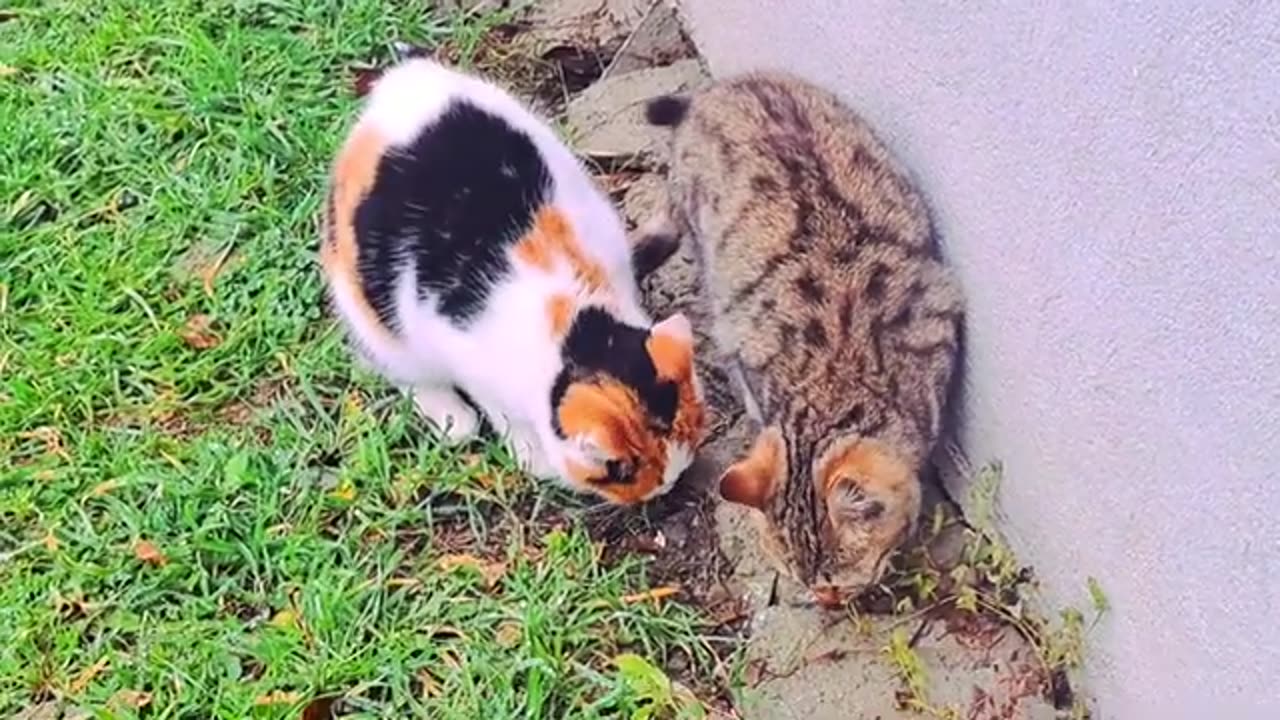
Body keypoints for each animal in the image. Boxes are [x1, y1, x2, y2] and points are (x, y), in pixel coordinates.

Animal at [314, 57, 706, 504]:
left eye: (690, 429)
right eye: (620, 469)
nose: (668, 483)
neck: (574, 320)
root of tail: (403, 79)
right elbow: (505, 415)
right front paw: (536, 461)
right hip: (372, 317)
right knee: (401, 372)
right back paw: (456, 421)